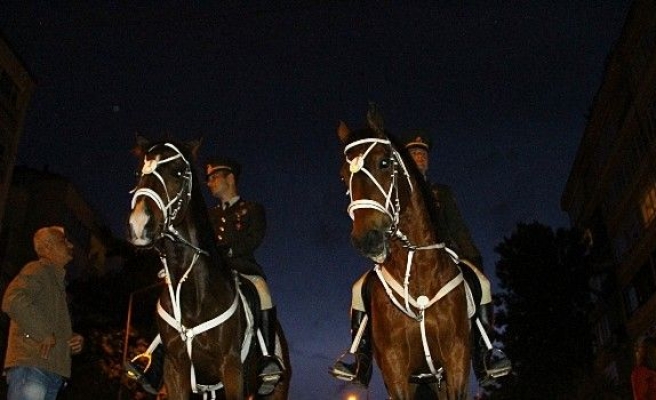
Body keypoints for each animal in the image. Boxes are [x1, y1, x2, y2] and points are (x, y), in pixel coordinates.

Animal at [127, 136, 290, 398]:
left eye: (178, 172)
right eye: (139, 172)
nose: (139, 224)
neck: (192, 295)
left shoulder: (231, 368)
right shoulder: (175, 370)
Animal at [338, 108, 472, 398]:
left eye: (384, 163)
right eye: (343, 176)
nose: (366, 238)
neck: (417, 271)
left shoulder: (456, 361)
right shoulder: (395, 368)